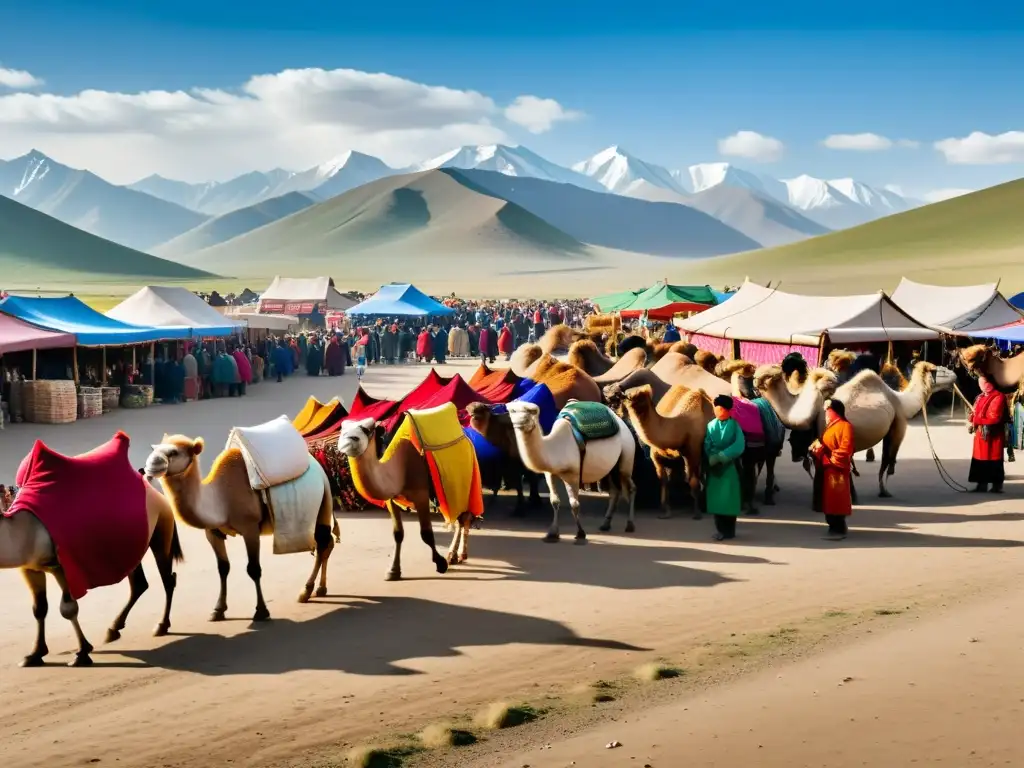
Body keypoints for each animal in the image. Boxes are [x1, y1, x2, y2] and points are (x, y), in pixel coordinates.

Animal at [2, 483, 183, 671]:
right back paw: (113, 629)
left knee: (168, 580)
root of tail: (159, 496)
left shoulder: (63, 568)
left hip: (161, 531)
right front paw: (35, 654)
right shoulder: (30, 569)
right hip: (130, 548)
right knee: (139, 584)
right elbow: (39, 609)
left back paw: (161, 625)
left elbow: (68, 609)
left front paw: (82, 653)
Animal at [145, 436, 335, 622]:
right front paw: (218, 610)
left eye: (174, 452)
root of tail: (317, 466)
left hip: (322, 499)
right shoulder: (212, 532)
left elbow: (253, 569)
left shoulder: (250, 528)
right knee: (327, 543)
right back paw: (321, 589)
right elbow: (223, 568)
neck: (220, 498)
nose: (150, 465)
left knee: (322, 543)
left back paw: (306, 591)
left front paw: (261, 611)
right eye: (153, 448)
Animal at [335, 421, 471, 577]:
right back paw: (455, 555)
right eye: (342, 428)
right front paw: (393, 571)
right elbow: (398, 534)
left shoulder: (421, 495)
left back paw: (456, 555)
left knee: (463, 518)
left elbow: (426, 533)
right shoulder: (391, 500)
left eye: (367, 429)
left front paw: (440, 563)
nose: (347, 441)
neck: (401, 469)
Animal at [501, 403, 630, 540]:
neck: (553, 447)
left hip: (627, 452)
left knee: (630, 488)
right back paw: (605, 524)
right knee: (614, 491)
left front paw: (580, 533)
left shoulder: (573, 475)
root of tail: (619, 419)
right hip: (611, 468)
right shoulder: (549, 474)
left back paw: (629, 525)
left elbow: (574, 504)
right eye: (512, 411)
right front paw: (552, 533)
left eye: (532, 411)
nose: (519, 422)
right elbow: (554, 501)